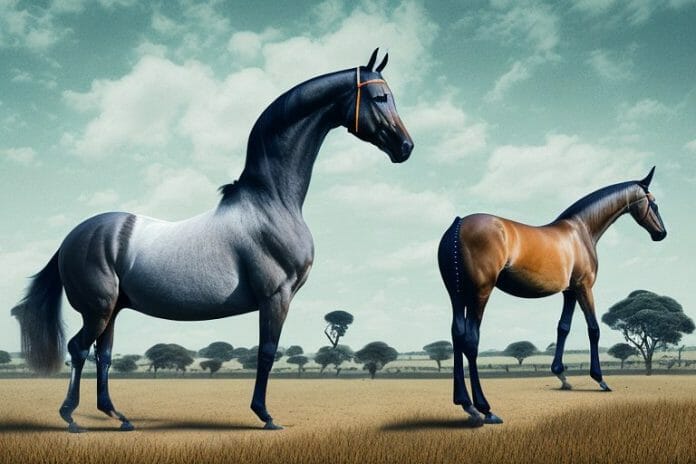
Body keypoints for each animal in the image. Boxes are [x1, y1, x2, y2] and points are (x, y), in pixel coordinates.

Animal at [11, 49, 414, 432]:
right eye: (379, 97)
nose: (406, 147)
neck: (271, 202)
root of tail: (72, 238)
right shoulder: (276, 297)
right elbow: (267, 352)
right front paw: (266, 416)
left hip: (111, 311)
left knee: (103, 356)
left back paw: (118, 417)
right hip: (98, 310)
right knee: (78, 350)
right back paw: (71, 418)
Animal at [437, 167, 666, 425]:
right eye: (653, 203)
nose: (661, 233)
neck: (581, 230)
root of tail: (458, 225)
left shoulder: (570, 291)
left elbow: (563, 327)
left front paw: (562, 376)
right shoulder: (584, 287)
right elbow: (593, 329)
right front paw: (600, 379)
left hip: (457, 295)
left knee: (457, 336)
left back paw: (466, 404)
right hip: (480, 292)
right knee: (471, 341)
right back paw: (485, 409)